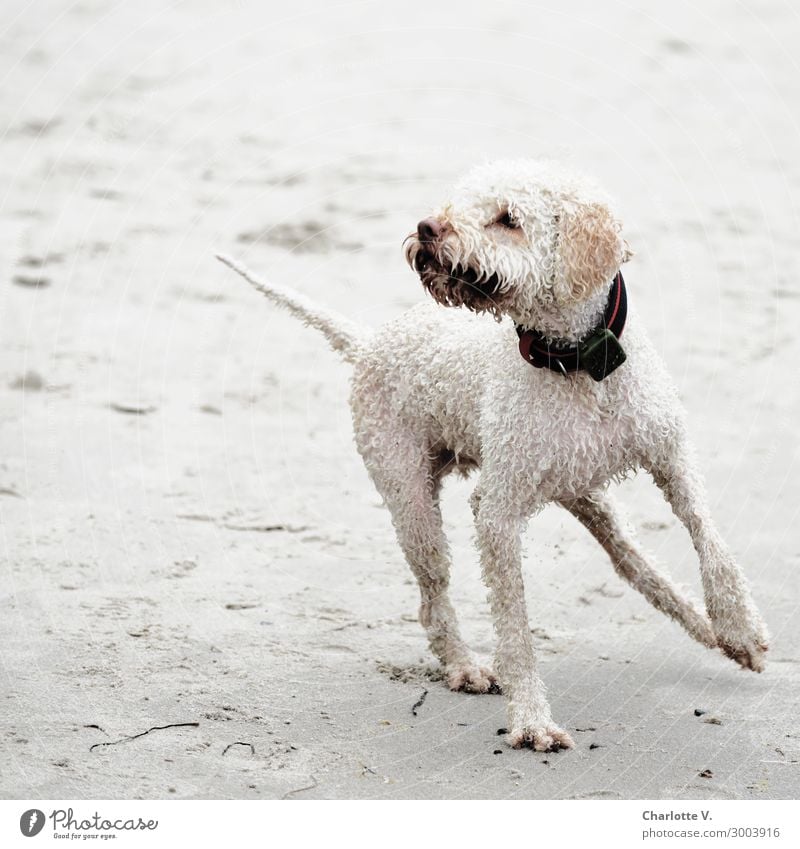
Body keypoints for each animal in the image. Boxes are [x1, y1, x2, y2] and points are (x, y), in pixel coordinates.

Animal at [217, 157, 768, 748]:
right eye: (461, 204)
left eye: (508, 219)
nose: (429, 227)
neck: (579, 363)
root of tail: (367, 345)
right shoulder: (497, 511)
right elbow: (514, 624)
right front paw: (530, 718)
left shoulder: (672, 458)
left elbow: (711, 542)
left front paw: (741, 630)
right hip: (413, 504)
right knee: (433, 599)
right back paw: (463, 666)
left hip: (584, 493)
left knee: (634, 563)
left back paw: (709, 632)